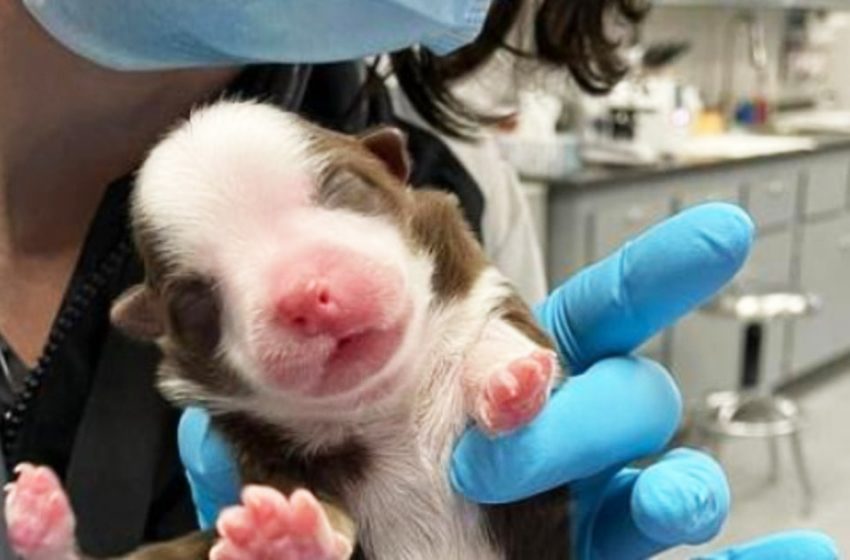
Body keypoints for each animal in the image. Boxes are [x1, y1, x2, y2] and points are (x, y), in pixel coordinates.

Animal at [6, 101, 568, 560]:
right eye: (196, 300)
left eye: (342, 188)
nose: (303, 296)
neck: (383, 401)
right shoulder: (263, 452)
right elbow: (308, 503)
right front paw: (283, 536)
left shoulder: (480, 294)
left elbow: (493, 333)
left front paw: (509, 380)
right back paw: (40, 521)